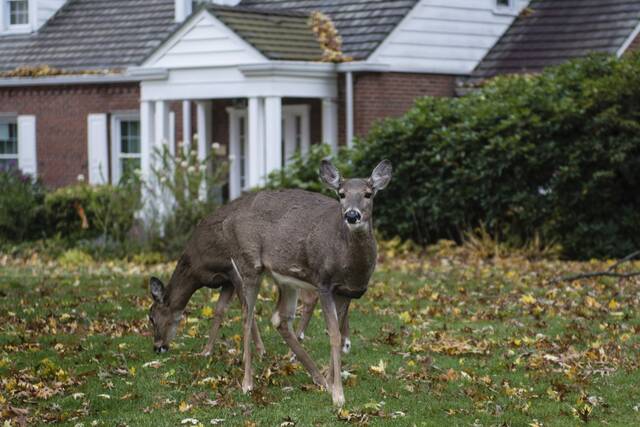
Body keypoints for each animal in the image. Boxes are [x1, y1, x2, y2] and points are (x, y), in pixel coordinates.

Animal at [148, 159, 392, 407]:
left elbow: (336, 333)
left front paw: (331, 382)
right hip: (249, 266)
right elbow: (332, 333)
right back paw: (248, 383)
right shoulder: (323, 283)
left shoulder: (345, 293)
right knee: (247, 318)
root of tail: (230, 221)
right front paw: (338, 395)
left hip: (285, 280)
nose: (352, 215)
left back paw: (317, 377)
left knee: (279, 318)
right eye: (341, 194)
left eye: (368, 193)